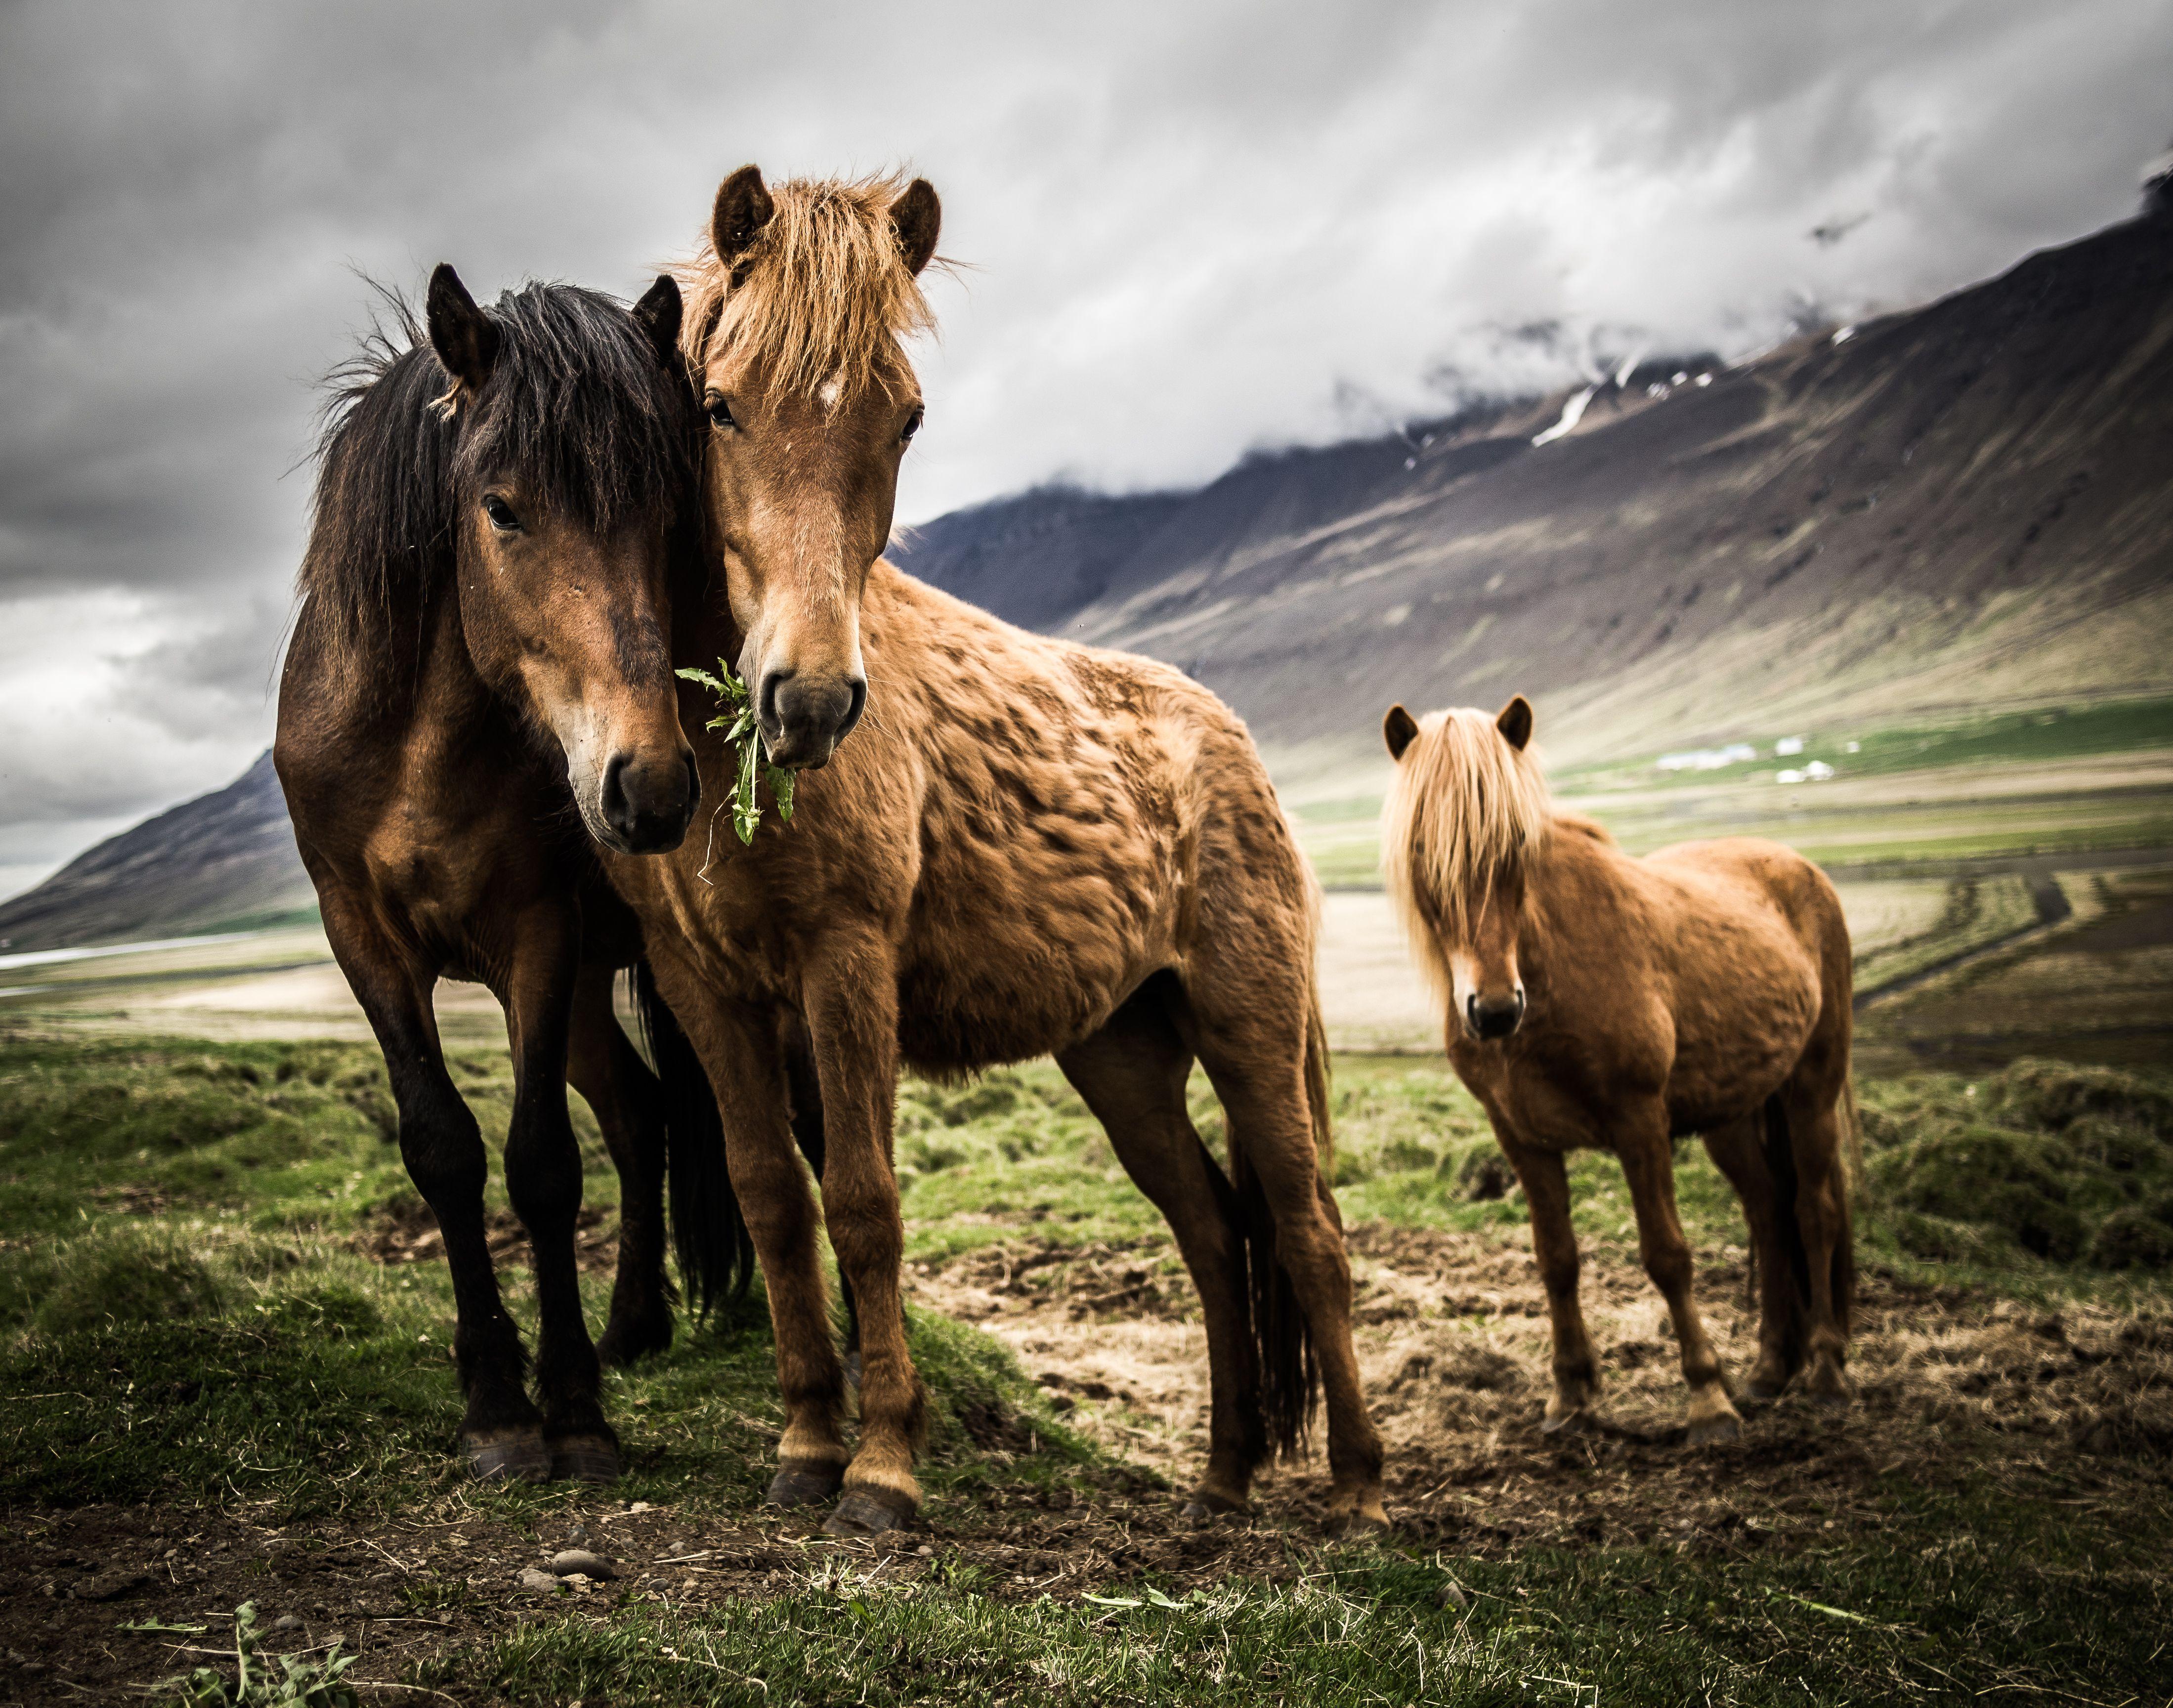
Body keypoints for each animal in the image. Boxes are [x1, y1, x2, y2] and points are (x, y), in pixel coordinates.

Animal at [276, 268, 752, 1483]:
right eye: (501, 508)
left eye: (663, 512)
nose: (651, 787)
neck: (414, 751)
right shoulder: (365, 944)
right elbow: (443, 1148)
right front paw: (497, 1404)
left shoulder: (535, 939)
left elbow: (542, 1164)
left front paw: (572, 1413)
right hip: (588, 992)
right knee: (640, 1113)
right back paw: (636, 1328)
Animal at [594, 166, 1386, 1537]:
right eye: (718, 405)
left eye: (906, 420)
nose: (809, 701)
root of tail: (1226, 736)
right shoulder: (707, 989)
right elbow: (771, 1200)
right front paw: (804, 1445)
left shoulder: (847, 965)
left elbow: (863, 1204)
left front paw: (881, 1470)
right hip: (1120, 1050)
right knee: (1210, 1231)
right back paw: (1223, 1480)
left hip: (1247, 1026)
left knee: (1304, 1229)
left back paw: (1355, 1491)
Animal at [1379, 695, 1856, 1443]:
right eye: (1424, 849)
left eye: (1516, 848)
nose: (1493, 1012)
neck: (1548, 973)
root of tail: (1800, 869)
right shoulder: (1521, 1139)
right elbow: (1556, 1260)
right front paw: (1570, 1395)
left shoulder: (1640, 1123)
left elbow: (1667, 1255)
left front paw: (1706, 1400)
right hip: (1732, 1115)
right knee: (1766, 1210)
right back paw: (1768, 1371)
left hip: (1811, 1087)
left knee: (1814, 1210)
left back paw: (1826, 1370)